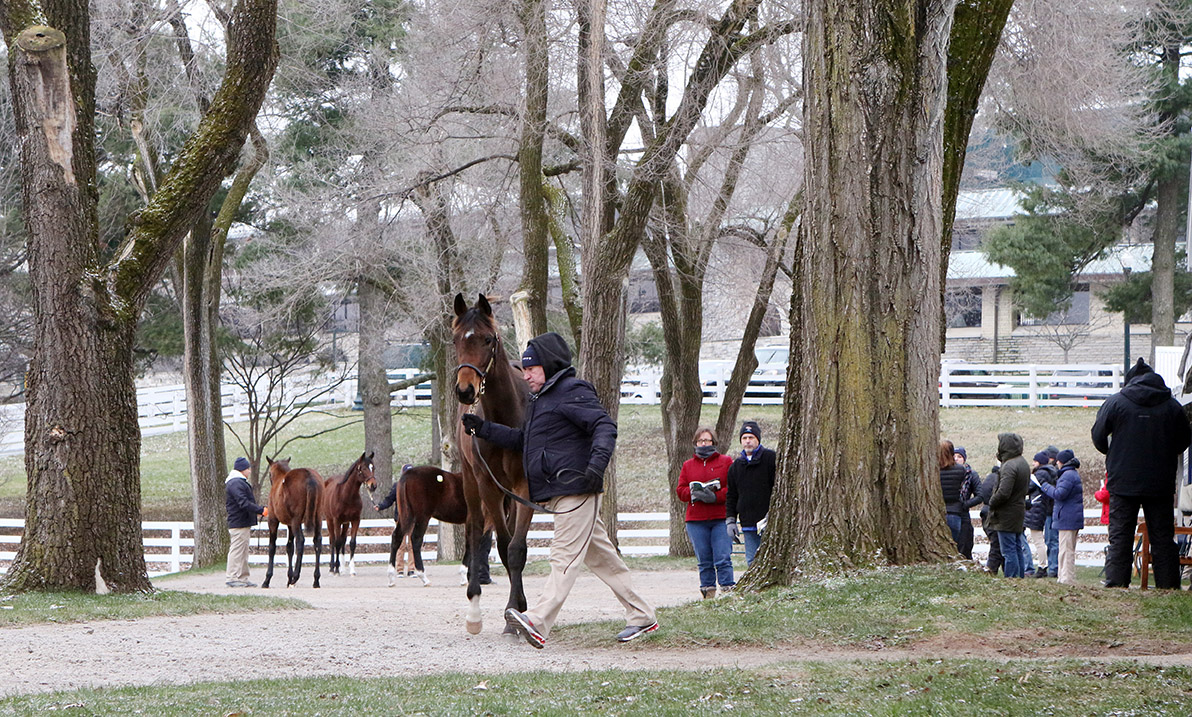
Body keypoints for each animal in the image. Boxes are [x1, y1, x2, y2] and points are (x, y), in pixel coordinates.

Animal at [263, 454, 324, 588]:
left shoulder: (273, 521)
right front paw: (288, 577)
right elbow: (289, 548)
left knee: (300, 541)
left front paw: (267, 578)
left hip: (296, 521)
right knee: (317, 542)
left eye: (269, 473)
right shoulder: (290, 524)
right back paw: (316, 579)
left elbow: (272, 547)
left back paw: (296, 576)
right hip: (317, 518)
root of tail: (309, 476)